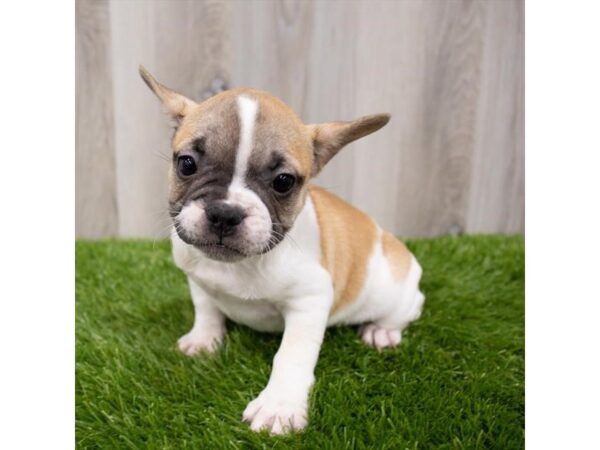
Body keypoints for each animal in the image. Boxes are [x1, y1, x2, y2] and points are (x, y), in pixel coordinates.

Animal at [139, 65, 426, 434]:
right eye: (186, 164)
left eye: (283, 182)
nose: (224, 213)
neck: (238, 266)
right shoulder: (197, 277)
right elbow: (206, 308)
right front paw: (204, 338)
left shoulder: (309, 301)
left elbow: (291, 355)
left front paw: (279, 405)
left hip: (390, 290)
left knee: (409, 305)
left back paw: (382, 331)